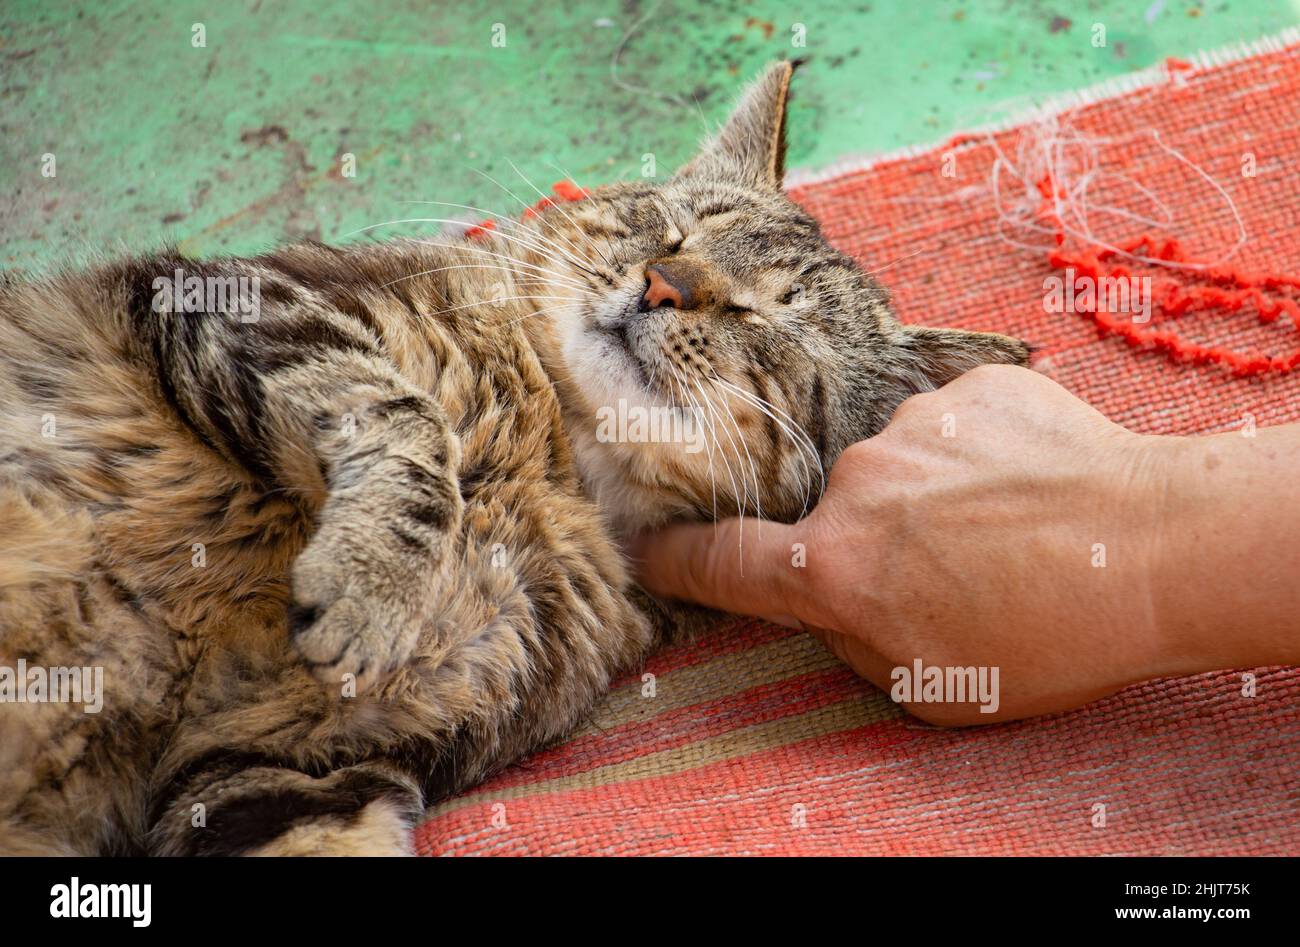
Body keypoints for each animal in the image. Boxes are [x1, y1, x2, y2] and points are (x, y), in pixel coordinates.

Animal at [0, 62, 1024, 853]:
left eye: (765, 318)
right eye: (668, 225)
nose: (662, 282)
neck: (556, 455)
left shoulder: (286, 763)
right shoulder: (247, 302)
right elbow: (406, 419)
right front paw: (375, 579)